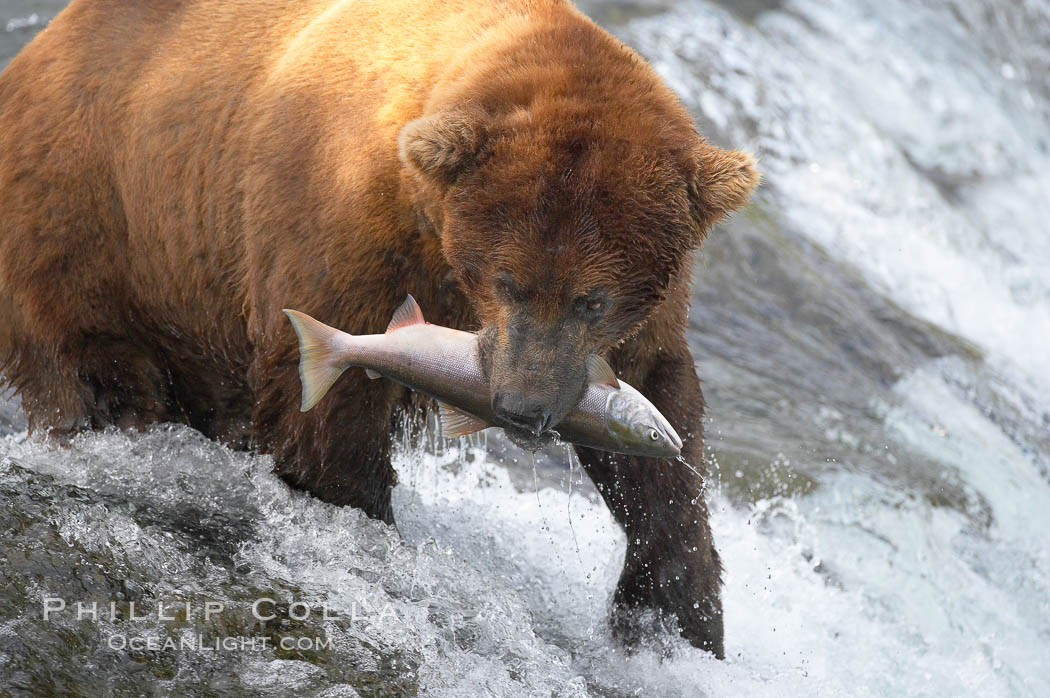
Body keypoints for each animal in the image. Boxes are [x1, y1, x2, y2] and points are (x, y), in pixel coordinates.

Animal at [0, 0, 755, 654]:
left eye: (591, 300)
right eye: (508, 281)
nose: (524, 407)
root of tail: (37, 51)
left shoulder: (641, 322)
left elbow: (661, 434)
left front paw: (676, 614)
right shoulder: (343, 228)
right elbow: (327, 416)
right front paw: (368, 527)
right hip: (90, 228)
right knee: (99, 376)